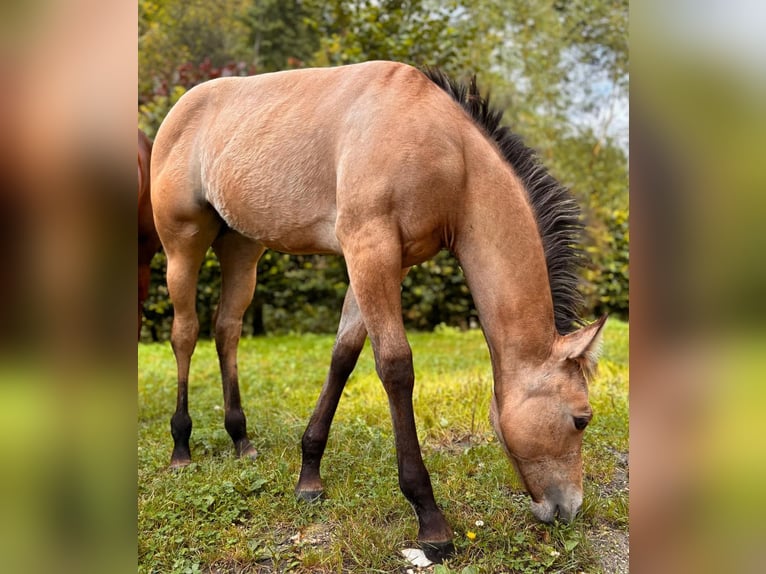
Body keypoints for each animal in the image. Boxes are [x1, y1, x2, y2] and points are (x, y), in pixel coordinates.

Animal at [150, 62, 608, 564]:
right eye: (581, 419)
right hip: (182, 247)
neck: (452, 155)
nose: (569, 508)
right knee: (185, 333)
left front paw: (309, 474)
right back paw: (181, 446)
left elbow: (343, 356)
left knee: (226, 329)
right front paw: (430, 519)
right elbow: (395, 367)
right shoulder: (370, 250)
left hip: (242, 249)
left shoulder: (385, 262)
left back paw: (240, 439)